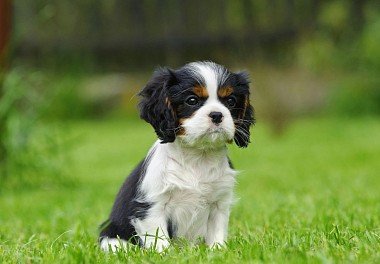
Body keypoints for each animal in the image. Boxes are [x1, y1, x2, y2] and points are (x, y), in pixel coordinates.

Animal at [99, 61, 254, 252]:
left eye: (231, 101)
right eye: (192, 100)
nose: (217, 115)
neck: (198, 155)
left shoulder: (219, 204)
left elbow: (216, 234)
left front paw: (217, 251)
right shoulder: (153, 205)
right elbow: (159, 238)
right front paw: (164, 254)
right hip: (112, 239)